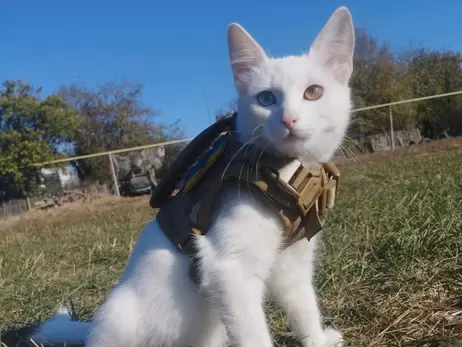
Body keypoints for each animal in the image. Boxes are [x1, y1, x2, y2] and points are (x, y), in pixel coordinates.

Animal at [31, 6, 354, 347]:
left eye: (314, 92)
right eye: (266, 99)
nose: (289, 119)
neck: (287, 169)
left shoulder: (293, 261)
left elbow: (302, 305)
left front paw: (317, 339)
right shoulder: (228, 270)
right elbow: (253, 332)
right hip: (119, 315)